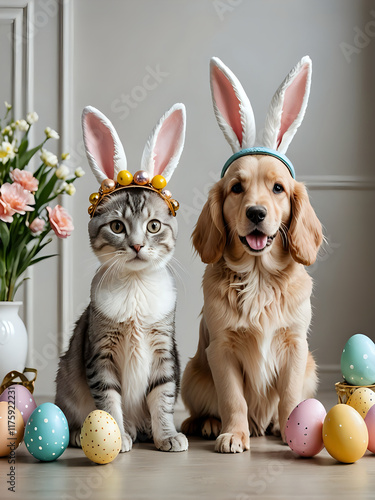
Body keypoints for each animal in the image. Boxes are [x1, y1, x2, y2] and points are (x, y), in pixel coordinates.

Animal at [55, 103, 188, 452]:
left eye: (153, 226)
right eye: (117, 227)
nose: (138, 245)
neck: (136, 289)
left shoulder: (164, 351)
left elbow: (163, 397)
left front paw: (166, 435)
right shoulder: (100, 353)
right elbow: (108, 400)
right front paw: (112, 436)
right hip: (66, 380)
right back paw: (84, 433)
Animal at [181, 55, 324, 454]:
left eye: (278, 188)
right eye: (236, 188)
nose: (256, 213)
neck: (259, 276)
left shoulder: (295, 347)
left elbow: (289, 396)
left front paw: (292, 429)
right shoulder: (221, 349)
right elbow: (233, 398)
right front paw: (234, 433)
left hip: (311, 368)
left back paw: (272, 424)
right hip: (192, 373)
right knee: (200, 409)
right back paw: (209, 423)